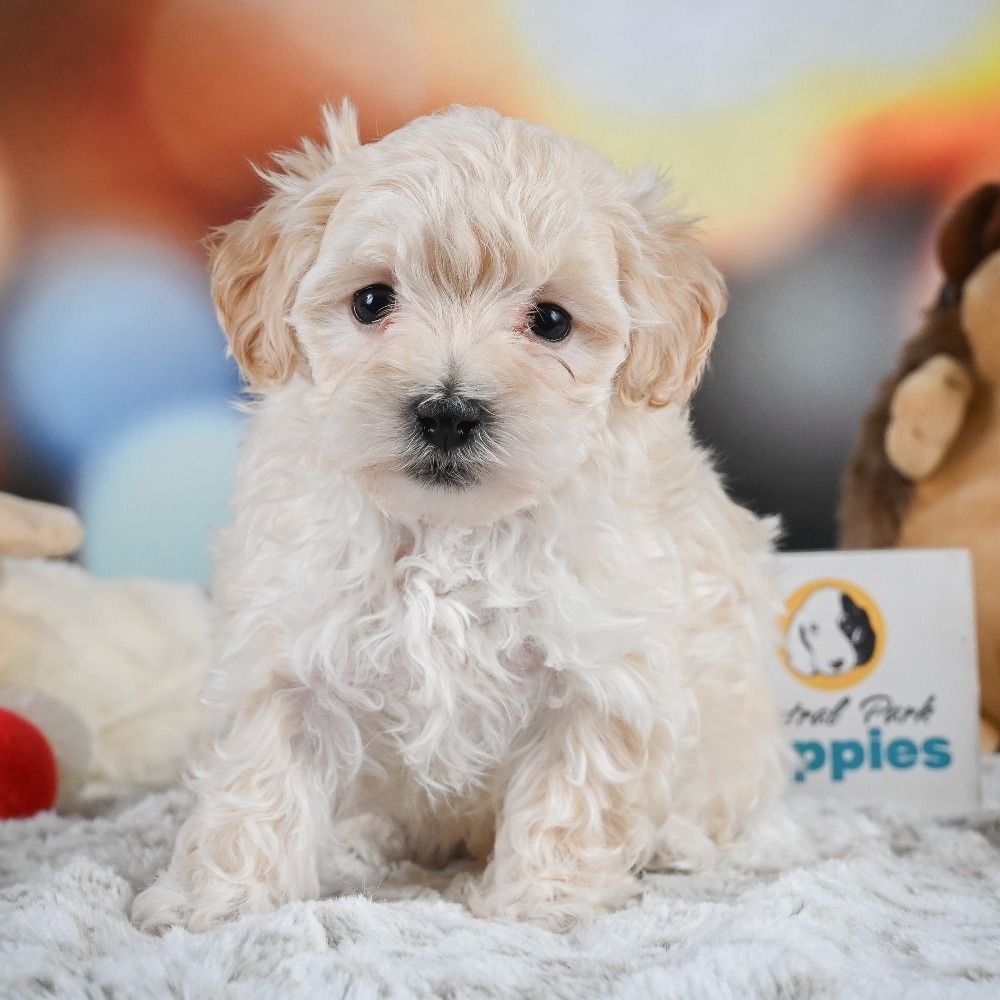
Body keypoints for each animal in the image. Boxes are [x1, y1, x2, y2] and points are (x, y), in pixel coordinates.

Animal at [133, 99, 784, 928]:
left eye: (551, 321)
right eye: (372, 301)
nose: (447, 412)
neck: (450, 529)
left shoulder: (601, 674)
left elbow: (570, 797)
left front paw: (539, 905)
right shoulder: (292, 654)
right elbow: (257, 785)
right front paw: (217, 901)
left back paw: (676, 843)